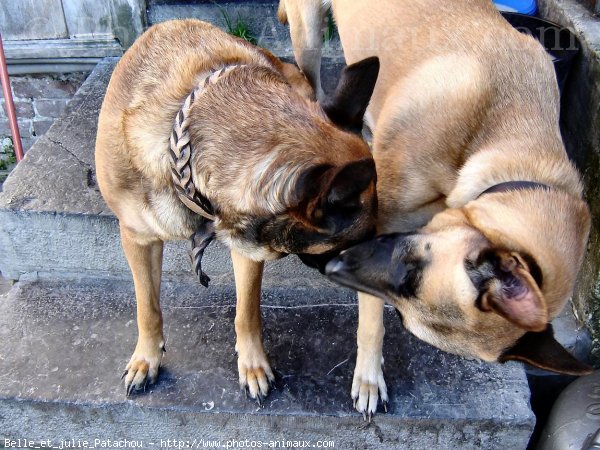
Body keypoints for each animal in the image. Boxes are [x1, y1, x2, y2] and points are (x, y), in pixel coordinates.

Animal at [96, 19, 382, 400]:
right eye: (353, 242)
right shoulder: (137, 239)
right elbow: (148, 307)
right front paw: (146, 357)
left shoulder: (246, 250)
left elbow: (246, 312)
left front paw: (253, 365)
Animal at [278, 0, 592, 416]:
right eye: (411, 266)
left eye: (404, 303)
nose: (332, 268)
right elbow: (370, 323)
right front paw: (368, 377)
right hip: (309, 36)